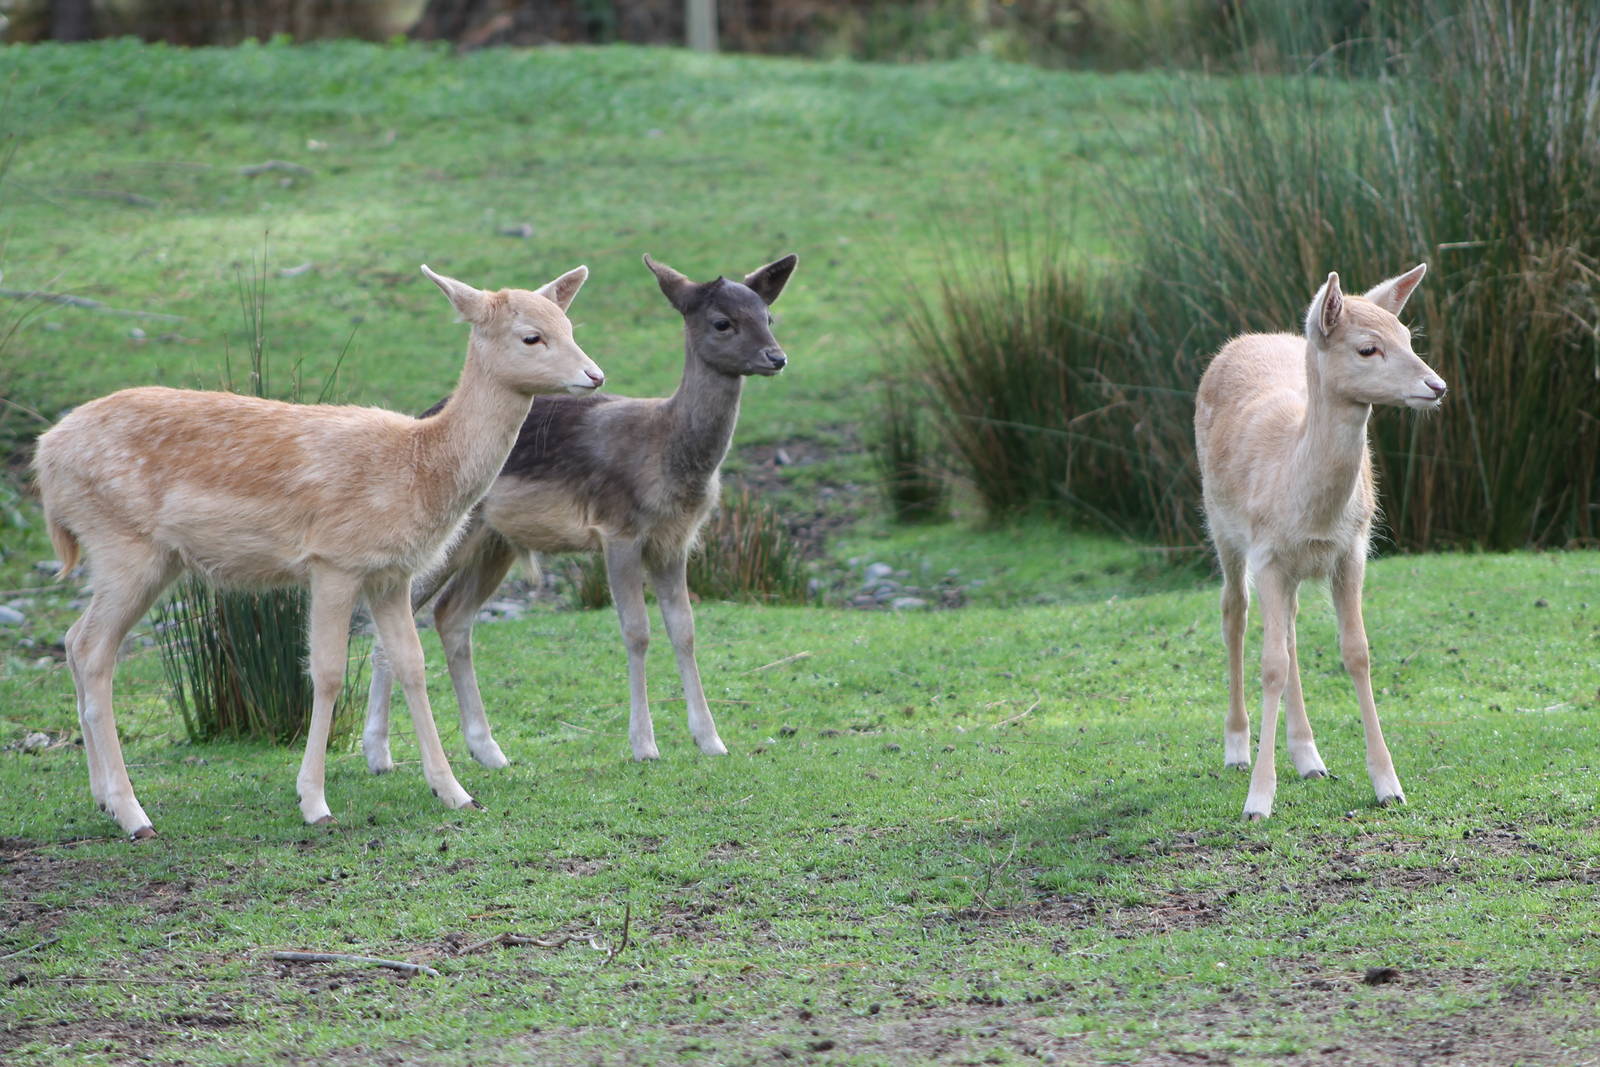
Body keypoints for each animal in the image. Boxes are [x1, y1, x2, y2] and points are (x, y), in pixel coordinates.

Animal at [31, 264, 604, 838]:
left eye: (570, 325)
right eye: (531, 336)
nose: (595, 375)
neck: (419, 467)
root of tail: (44, 458)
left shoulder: (390, 573)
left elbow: (411, 664)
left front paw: (456, 793)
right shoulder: (334, 560)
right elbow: (326, 672)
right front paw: (314, 802)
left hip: (139, 557)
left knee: (74, 639)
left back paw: (103, 799)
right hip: (124, 544)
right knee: (94, 650)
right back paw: (134, 813)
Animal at [361, 251, 797, 773]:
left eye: (768, 316)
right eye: (722, 322)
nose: (777, 358)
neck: (668, 456)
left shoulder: (675, 541)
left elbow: (685, 630)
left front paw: (711, 739)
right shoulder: (618, 529)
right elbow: (636, 631)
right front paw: (644, 744)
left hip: (495, 544)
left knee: (452, 617)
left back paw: (487, 749)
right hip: (443, 540)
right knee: (395, 620)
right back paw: (379, 753)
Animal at [1194, 264, 1446, 821]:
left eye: (1407, 336)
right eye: (1368, 348)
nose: (1436, 385)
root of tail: (1246, 339)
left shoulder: (1352, 550)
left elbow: (1356, 652)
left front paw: (1389, 785)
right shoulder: (1266, 554)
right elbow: (1269, 665)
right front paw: (1258, 801)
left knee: (1287, 628)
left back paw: (1309, 758)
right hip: (1220, 525)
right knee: (1234, 612)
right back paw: (1237, 748)